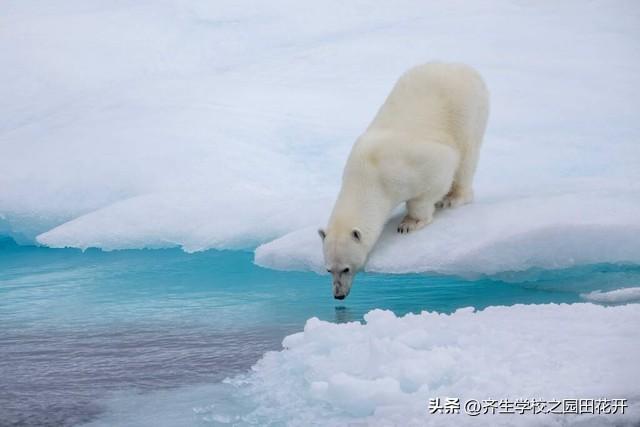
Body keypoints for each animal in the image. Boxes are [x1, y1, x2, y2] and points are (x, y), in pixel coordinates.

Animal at [318, 62, 488, 300]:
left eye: (346, 268)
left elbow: (438, 173)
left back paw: (454, 197)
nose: (338, 295)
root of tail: (465, 68)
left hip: (466, 109)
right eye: (328, 269)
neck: (368, 175)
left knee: (467, 154)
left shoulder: (408, 167)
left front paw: (409, 223)